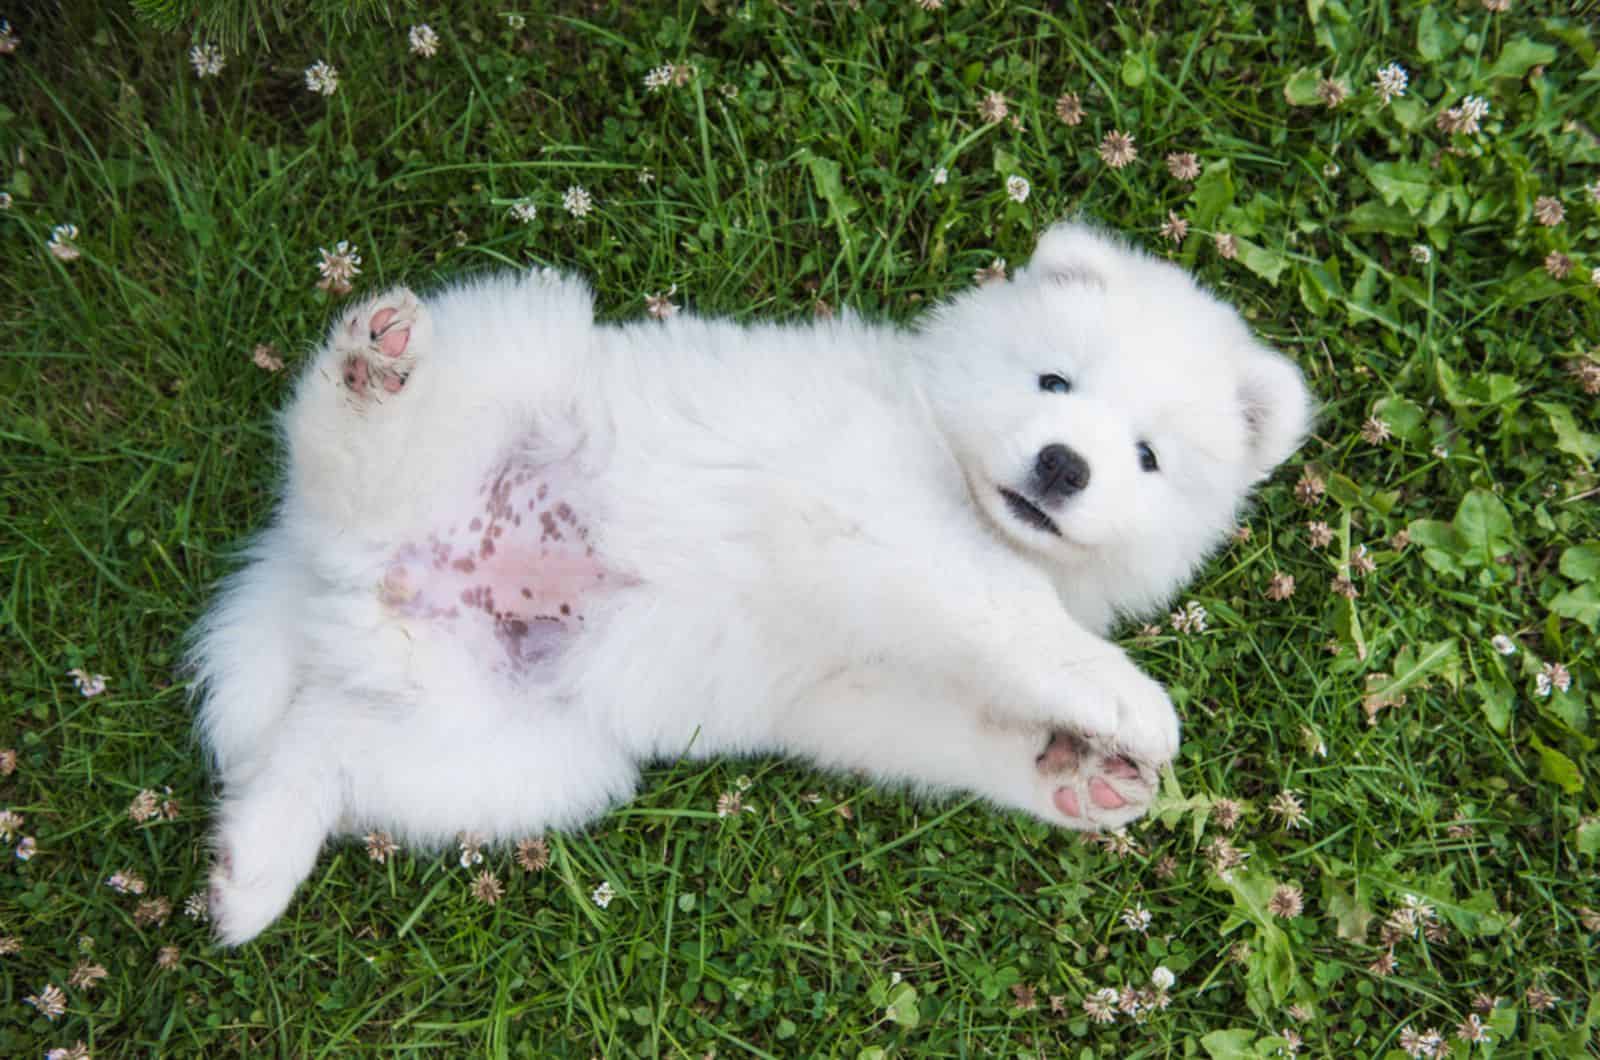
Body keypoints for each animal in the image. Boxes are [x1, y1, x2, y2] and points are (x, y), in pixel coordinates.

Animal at [190, 222, 1312, 947]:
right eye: (1053, 382)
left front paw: (1074, 771)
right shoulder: (888, 519)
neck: (947, 456)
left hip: (520, 748)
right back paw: (373, 377)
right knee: (346, 454)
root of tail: (331, 574)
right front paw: (1124, 698)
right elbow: (1010, 611)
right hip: (517, 364)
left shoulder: (854, 688)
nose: (1064, 465)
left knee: (328, 742)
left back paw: (252, 866)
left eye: (1147, 457)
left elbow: (951, 721)